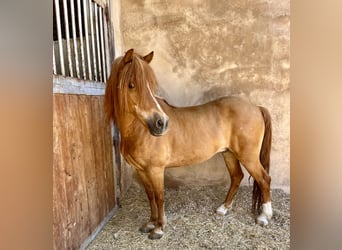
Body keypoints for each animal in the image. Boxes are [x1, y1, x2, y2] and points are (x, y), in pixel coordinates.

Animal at [104, 49, 272, 240]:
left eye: (151, 86)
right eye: (131, 85)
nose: (161, 123)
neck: (139, 130)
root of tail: (256, 107)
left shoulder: (155, 169)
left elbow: (159, 196)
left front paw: (159, 228)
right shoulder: (141, 169)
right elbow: (150, 196)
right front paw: (150, 223)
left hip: (248, 156)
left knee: (264, 179)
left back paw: (264, 217)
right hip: (228, 153)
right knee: (237, 177)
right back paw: (223, 209)